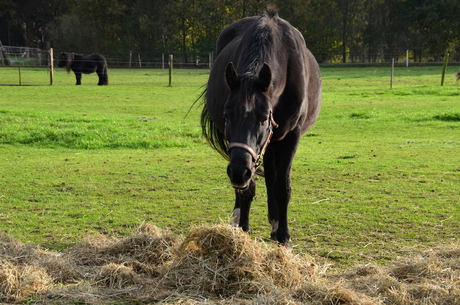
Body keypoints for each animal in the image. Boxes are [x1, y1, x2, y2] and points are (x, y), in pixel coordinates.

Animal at [199, 7, 322, 245]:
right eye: (227, 116)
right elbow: (248, 188)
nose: (238, 172)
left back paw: (275, 222)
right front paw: (243, 228)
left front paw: (283, 235)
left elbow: (281, 186)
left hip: (273, 142)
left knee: (272, 178)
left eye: (264, 118)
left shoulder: (291, 136)